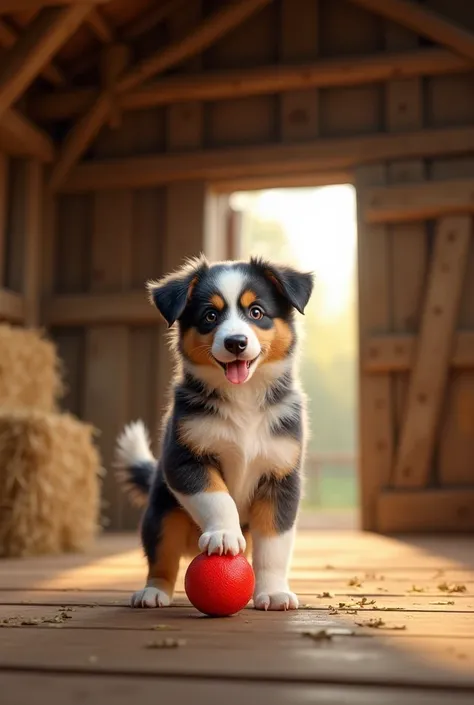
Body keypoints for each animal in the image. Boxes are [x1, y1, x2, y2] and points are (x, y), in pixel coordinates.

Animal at [115, 254, 312, 612]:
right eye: (210, 316)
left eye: (256, 312)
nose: (236, 342)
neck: (243, 397)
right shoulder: (184, 459)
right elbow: (216, 497)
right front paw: (224, 534)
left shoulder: (281, 476)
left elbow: (274, 545)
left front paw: (274, 592)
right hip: (161, 513)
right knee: (162, 557)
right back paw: (152, 593)